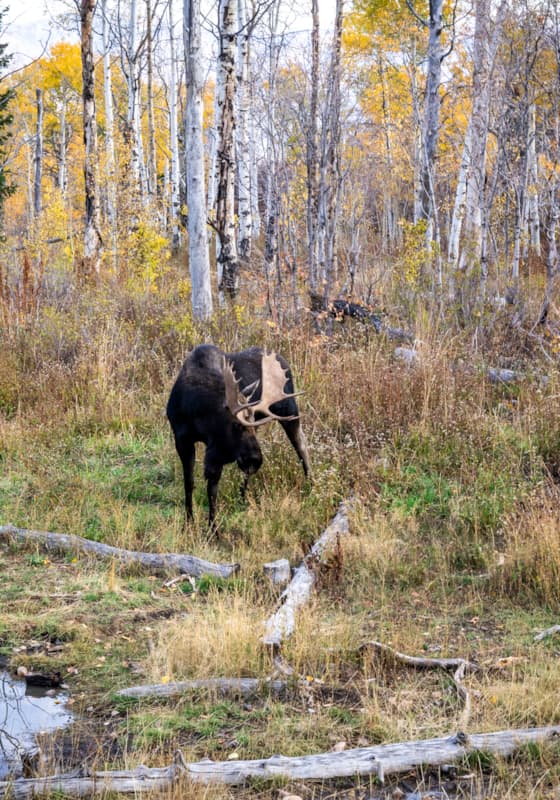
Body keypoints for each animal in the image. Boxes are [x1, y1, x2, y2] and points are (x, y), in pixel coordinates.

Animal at [166, 344, 310, 529]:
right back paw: (242, 498)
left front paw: (213, 527)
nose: (255, 460)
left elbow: (212, 490)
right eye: (236, 425)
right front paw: (189, 522)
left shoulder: (216, 451)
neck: (196, 414)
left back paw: (311, 484)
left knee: (301, 445)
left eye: (251, 421)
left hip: (289, 410)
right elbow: (189, 483)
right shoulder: (182, 439)